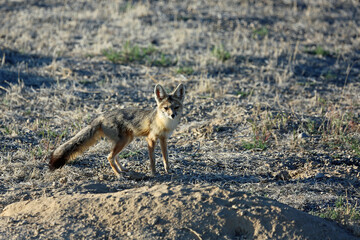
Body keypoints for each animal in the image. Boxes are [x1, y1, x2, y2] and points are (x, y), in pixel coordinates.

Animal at [48, 84, 186, 176]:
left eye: (176, 107)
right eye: (166, 108)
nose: (173, 115)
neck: (164, 123)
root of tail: (101, 116)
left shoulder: (163, 138)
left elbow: (165, 157)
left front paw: (168, 170)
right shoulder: (150, 139)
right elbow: (152, 159)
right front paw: (153, 172)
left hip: (126, 140)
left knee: (115, 156)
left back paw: (122, 170)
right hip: (124, 141)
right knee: (110, 157)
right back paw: (119, 175)